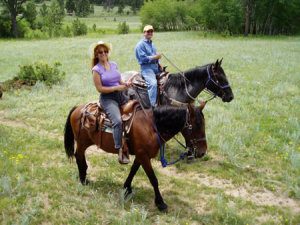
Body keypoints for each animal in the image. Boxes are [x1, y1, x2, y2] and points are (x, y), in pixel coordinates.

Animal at [63, 103, 206, 212]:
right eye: (197, 125)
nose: (202, 152)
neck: (151, 126)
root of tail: (78, 108)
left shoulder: (141, 155)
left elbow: (133, 170)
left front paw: (127, 188)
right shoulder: (144, 156)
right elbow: (153, 179)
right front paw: (160, 203)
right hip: (82, 143)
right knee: (79, 156)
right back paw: (83, 179)